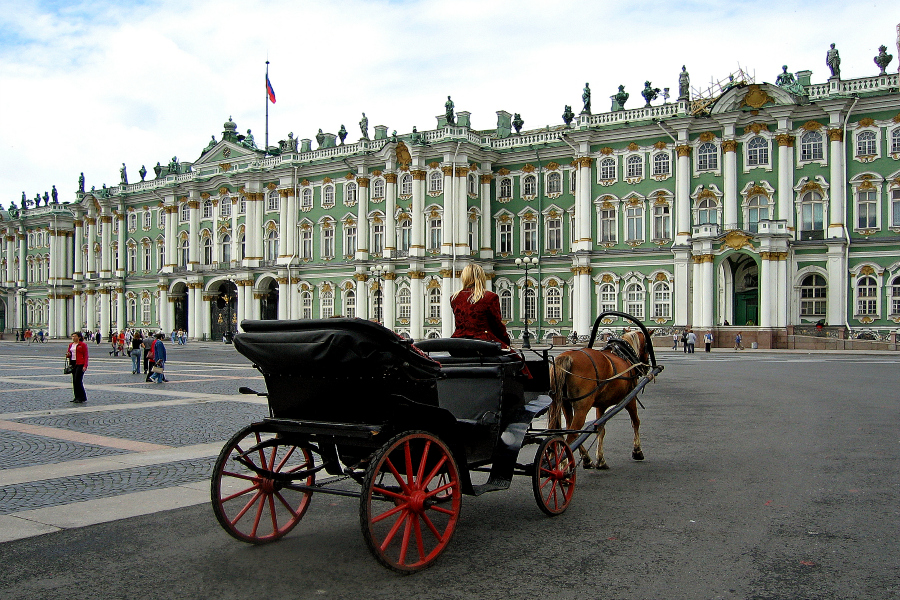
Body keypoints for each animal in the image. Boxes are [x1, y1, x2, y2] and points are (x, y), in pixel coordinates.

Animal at [548, 330, 652, 472]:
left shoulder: (601, 405)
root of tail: (567, 356)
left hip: (564, 403)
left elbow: (600, 429)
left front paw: (600, 460)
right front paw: (637, 451)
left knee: (569, 430)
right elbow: (635, 422)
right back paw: (564, 467)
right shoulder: (630, 398)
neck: (624, 355)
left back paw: (584, 460)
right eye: (647, 346)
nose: (646, 367)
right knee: (572, 436)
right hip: (582, 407)